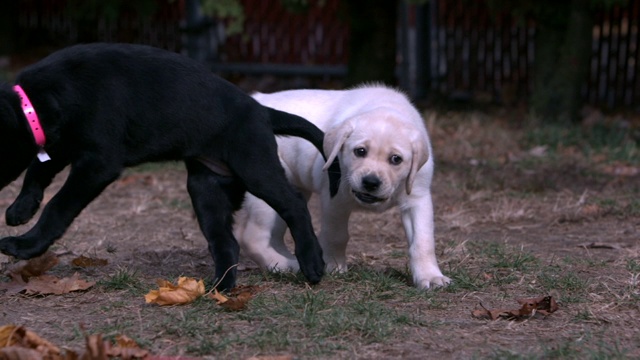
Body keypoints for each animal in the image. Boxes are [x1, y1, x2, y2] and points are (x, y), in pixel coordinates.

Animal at [0, 43, 338, 290]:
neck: (34, 103)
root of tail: (262, 111)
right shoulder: (59, 145)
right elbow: (37, 170)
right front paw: (20, 210)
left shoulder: (97, 162)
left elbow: (58, 205)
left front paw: (25, 245)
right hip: (206, 188)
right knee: (225, 241)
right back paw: (221, 286)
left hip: (255, 168)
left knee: (294, 204)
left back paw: (312, 262)